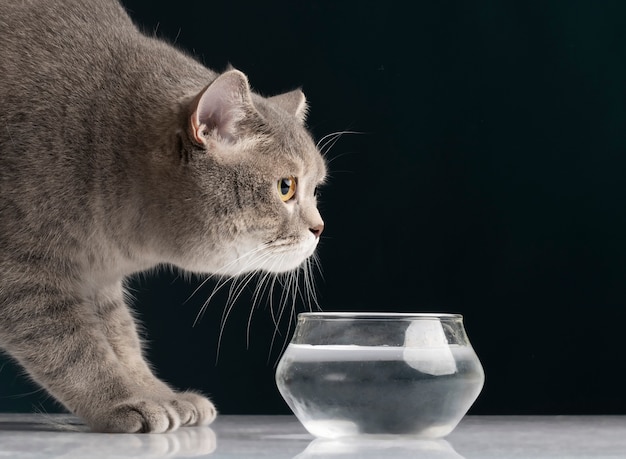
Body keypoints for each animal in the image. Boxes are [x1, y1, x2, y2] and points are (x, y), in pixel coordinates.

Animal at [0, 0, 324, 434]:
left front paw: (158, 394)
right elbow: (72, 346)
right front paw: (124, 401)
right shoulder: (23, 273)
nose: (319, 227)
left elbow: (122, 338)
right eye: (286, 187)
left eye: (316, 187)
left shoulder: (98, 278)